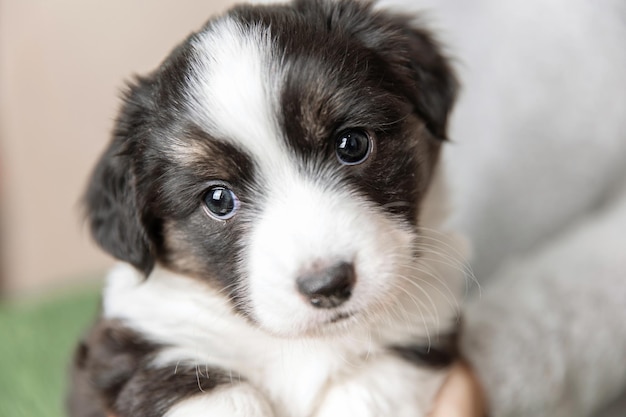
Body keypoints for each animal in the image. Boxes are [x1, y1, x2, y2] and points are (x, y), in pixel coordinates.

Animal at [70, 0, 466, 416]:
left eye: (352, 144)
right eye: (218, 200)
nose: (328, 286)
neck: (300, 343)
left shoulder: (421, 330)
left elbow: (369, 389)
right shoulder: (138, 344)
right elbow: (218, 394)